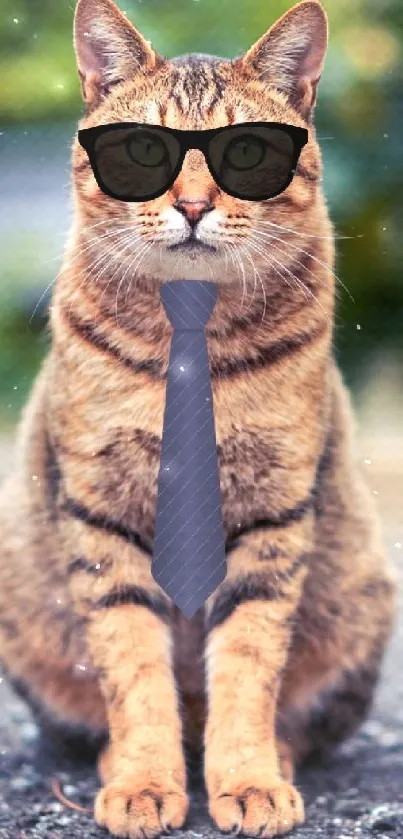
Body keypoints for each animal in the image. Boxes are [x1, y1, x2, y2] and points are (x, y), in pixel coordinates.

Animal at [0, 1, 398, 839]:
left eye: (244, 150)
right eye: (143, 149)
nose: (190, 205)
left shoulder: (273, 512)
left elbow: (247, 666)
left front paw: (247, 779)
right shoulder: (102, 513)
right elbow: (133, 667)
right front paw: (146, 781)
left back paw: (271, 758)